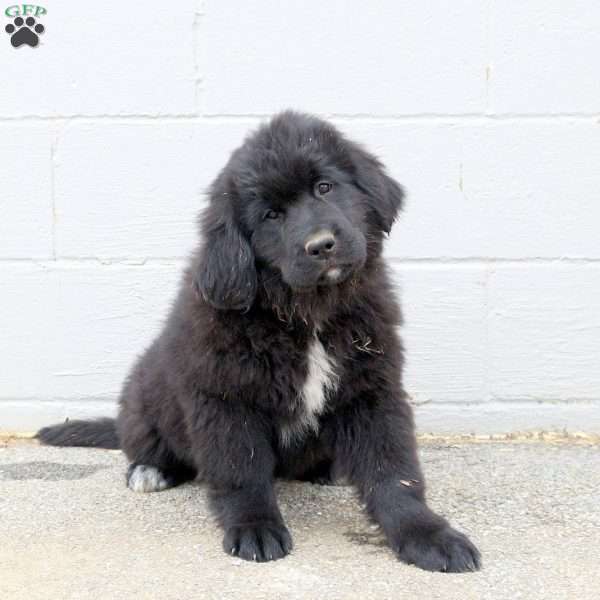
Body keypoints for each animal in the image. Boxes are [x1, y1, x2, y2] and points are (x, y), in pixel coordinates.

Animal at [38, 109, 478, 572]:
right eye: (271, 215)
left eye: (324, 187)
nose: (322, 245)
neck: (307, 315)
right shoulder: (227, 398)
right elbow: (241, 471)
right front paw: (255, 528)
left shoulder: (372, 389)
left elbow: (393, 472)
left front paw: (428, 535)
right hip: (143, 399)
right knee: (148, 444)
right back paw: (150, 470)